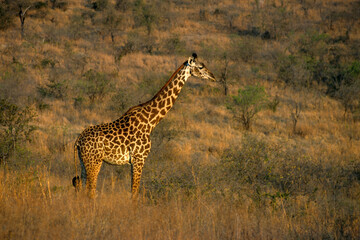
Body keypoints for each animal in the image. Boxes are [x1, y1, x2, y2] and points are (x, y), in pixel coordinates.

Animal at [71, 53, 215, 198]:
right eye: (200, 66)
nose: (213, 76)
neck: (150, 121)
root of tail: (78, 140)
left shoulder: (134, 161)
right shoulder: (139, 159)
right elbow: (134, 193)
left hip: (84, 163)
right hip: (94, 162)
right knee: (91, 191)